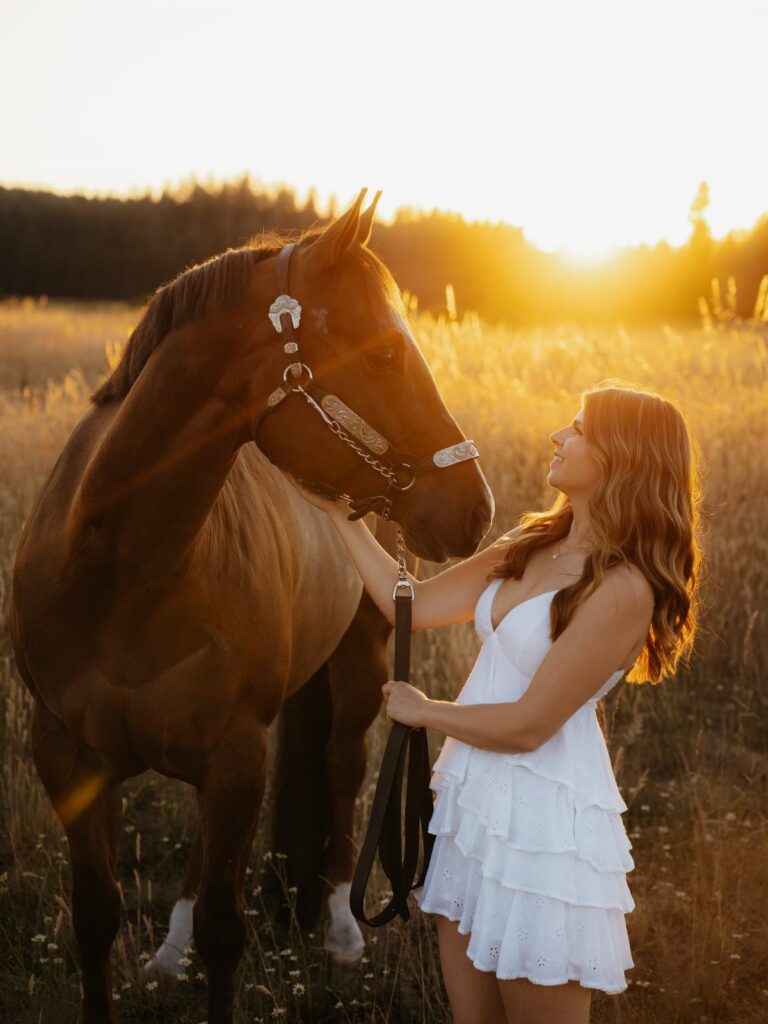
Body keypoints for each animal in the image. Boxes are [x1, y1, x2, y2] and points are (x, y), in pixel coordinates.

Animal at [8, 188, 494, 1024]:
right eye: (385, 355)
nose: (476, 508)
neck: (121, 573)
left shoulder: (236, 755)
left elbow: (224, 932)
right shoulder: (66, 753)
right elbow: (98, 916)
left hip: (359, 663)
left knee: (341, 767)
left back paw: (341, 934)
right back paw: (169, 950)